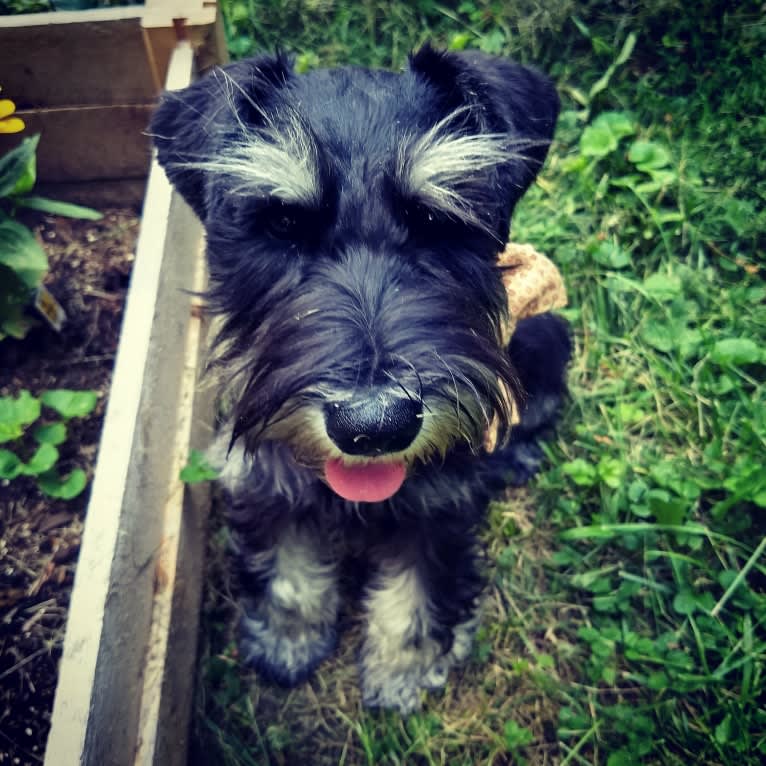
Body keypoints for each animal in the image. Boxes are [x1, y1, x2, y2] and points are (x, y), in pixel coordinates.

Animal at [152, 46, 568, 712]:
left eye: (436, 220)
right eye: (282, 225)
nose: (374, 426)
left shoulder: (440, 501)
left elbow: (422, 582)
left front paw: (405, 666)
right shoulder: (263, 477)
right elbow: (288, 571)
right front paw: (289, 638)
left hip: (546, 334)